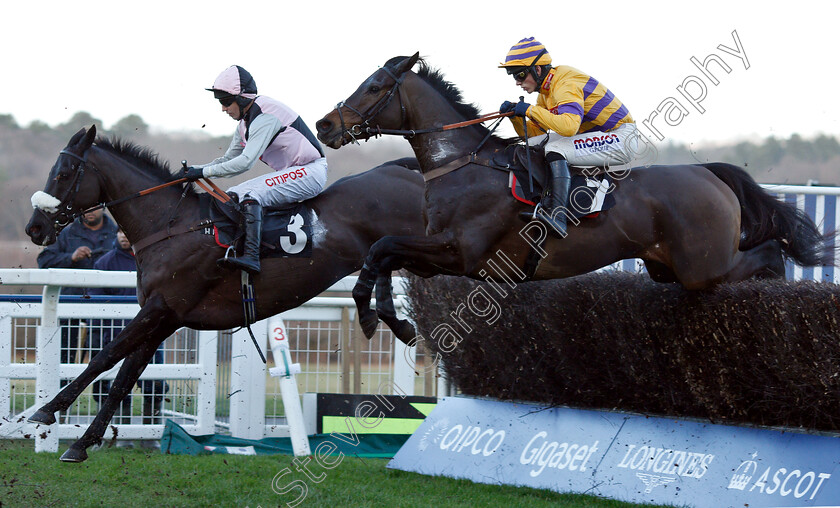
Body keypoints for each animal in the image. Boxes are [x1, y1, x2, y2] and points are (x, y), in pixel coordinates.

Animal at [23, 125, 426, 462]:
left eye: (63, 174)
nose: (34, 228)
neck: (172, 225)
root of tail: (403, 169)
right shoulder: (164, 318)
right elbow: (124, 378)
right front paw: (80, 443)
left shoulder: (159, 309)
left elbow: (103, 358)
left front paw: (47, 410)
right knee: (384, 266)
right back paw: (387, 319)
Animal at [316, 52, 832, 346]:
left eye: (375, 87)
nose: (325, 125)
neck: (462, 162)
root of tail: (707, 173)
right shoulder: (434, 255)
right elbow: (382, 253)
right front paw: (390, 320)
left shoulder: (461, 253)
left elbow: (382, 247)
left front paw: (378, 317)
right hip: (667, 268)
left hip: (703, 266)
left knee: (768, 255)